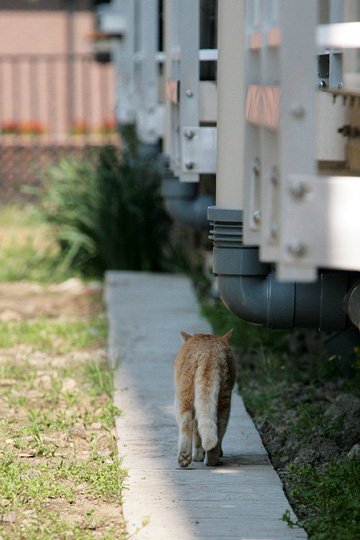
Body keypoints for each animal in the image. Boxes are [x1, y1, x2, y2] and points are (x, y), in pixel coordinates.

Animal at [174, 332, 236, 466]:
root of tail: (208, 354)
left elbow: (197, 433)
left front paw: (200, 454)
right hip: (222, 400)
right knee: (215, 428)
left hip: (185, 397)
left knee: (187, 424)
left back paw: (191, 457)